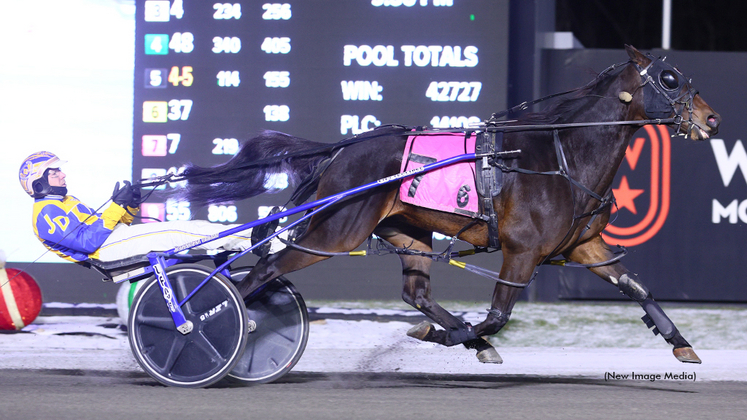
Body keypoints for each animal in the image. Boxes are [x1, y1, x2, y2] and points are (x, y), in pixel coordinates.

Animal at [180, 46, 720, 364]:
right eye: (669, 78)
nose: (712, 119)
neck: (562, 155)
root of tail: (342, 149)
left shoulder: (583, 247)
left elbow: (637, 287)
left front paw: (681, 343)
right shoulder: (522, 253)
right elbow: (498, 316)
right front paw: (450, 337)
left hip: (407, 231)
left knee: (415, 293)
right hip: (335, 231)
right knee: (263, 270)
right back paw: (206, 328)